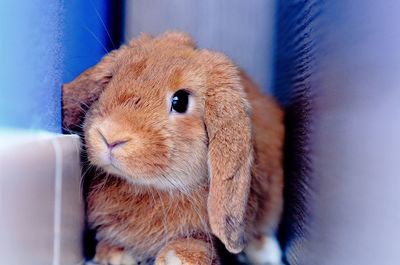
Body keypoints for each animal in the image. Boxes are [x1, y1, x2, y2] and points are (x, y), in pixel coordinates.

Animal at [62, 31, 284, 264]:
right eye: (111, 79)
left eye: (180, 101)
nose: (111, 135)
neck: (152, 189)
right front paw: (115, 255)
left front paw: (173, 258)